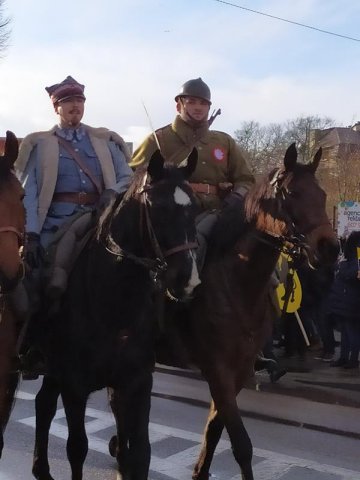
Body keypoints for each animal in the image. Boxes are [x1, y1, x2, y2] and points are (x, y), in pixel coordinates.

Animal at [167, 144, 338, 480]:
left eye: (323, 194)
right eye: (293, 193)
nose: (330, 248)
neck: (237, 281)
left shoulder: (239, 371)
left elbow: (214, 432)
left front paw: (200, 471)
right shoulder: (218, 369)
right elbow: (241, 444)